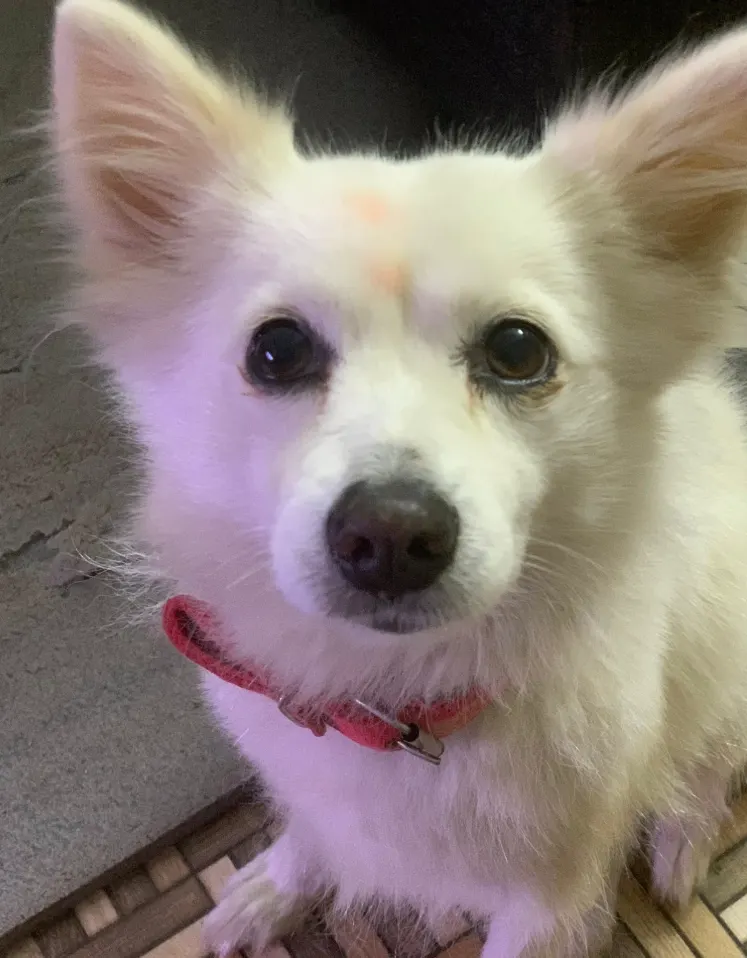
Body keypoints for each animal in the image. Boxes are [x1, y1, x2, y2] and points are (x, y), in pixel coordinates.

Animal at [50, 1, 747, 955]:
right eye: (276, 350)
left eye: (518, 350)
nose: (388, 535)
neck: (398, 701)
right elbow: (312, 829)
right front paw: (274, 887)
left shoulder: (549, 901)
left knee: (709, 757)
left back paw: (682, 838)